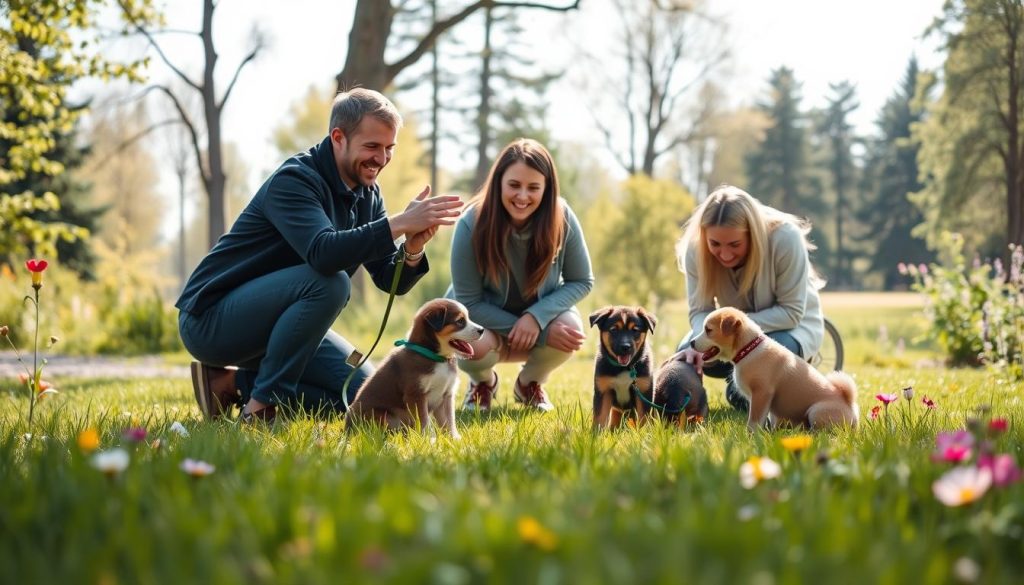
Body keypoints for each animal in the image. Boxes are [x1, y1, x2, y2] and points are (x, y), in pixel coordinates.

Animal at [348, 299, 483, 436]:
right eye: (460, 321)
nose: (482, 330)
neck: (437, 358)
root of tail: (347, 428)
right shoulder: (416, 394)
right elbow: (424, 421)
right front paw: (429, 438)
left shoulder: (446, 394)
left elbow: (449, 420)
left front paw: (454, 438)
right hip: (382, 415)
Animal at [696, 307, 856, 430]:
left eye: (708, 330)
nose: (691, 343)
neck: (748, 349)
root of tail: (850, 405)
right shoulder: (762, 401)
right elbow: (767, 418)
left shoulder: (761, 393)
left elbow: (754, 420)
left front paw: (751, 436)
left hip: (816, 411)